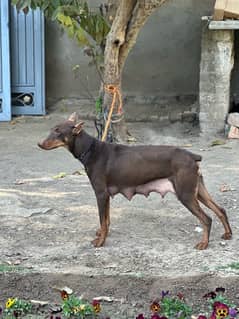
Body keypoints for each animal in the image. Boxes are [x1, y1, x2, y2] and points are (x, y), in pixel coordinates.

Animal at [37, 113, 232, 250]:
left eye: (58, 132)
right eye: (51, 129)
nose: (39, 144)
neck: (90, 149)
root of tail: (193, 155)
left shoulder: (100, 194)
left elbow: (102, 219)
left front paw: (100, 241)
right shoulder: (106, 195)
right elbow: (106, 219)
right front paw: (102, 233)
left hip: (185, 194)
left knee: (206, 219)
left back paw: (204, 244)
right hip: (198, 190)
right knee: (220, 210)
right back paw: (228, 234)